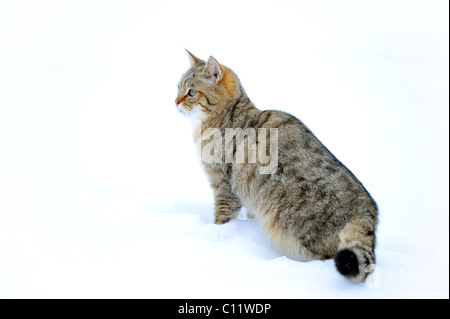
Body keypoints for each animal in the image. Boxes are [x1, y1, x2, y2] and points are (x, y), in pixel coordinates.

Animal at [174, 50, 378, 284]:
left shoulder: (225, 187)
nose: (175, 101)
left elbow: (222, 219)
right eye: (178, 87)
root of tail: (368, 209)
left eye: (191, 92)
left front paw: (214, 236)